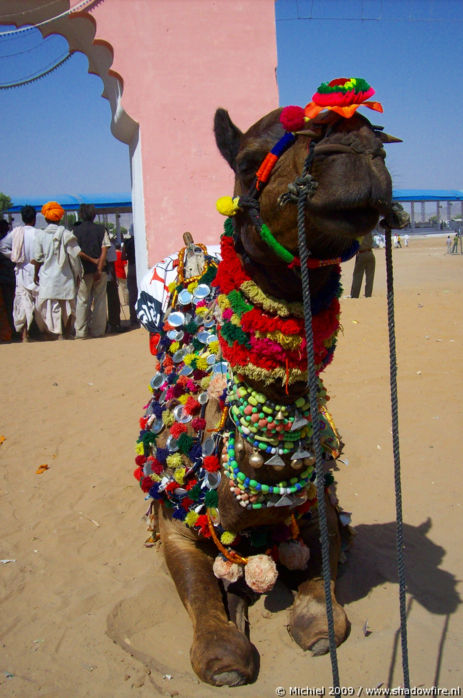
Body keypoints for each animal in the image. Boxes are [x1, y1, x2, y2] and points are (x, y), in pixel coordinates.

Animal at [134, 77, 402, 684]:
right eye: (247, 160)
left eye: (377, 139)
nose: (355, 147)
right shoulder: (174, 520)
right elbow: (200, 589)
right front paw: (224, 654)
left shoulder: (321, 505)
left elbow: (323, 588)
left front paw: (315, 623)